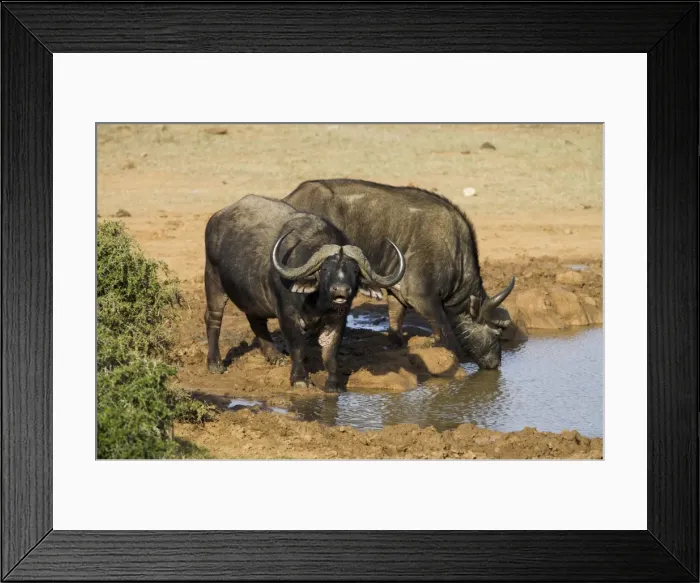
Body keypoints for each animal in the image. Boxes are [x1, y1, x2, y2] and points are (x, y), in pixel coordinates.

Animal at [204, 195, 406, 391]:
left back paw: (275, 356)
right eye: (325, 269)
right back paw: (215, 364)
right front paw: (300, 379)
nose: (341, 290)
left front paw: (333, 384)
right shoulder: (287, 315)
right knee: (213, 318)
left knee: (256, 320)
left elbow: (331, 353)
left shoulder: (337, 319)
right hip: (213, 279)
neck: (316, 303)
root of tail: (216, 217)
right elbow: (298, 347)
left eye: (355, 270)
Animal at [284, 179, 515, 369]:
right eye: (497, 331)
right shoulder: (424, 299)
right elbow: (446, 334)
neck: (455, 252)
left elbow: (396, 321)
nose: (495, 363)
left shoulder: (398, 294)